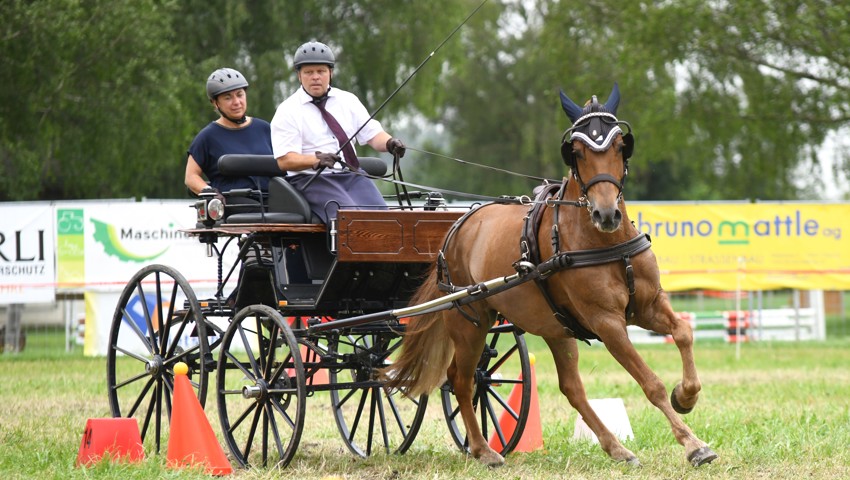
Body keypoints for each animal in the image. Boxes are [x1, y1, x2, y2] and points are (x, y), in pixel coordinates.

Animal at [382, 84, 716, 466]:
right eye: (577, 152)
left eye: (621, 145)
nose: (606, 214)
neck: (606, 242)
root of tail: (457, 227)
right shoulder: (608, 323)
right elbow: (651, 383)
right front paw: (693, 444)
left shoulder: (648, 306)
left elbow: (684, 333)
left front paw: (686, 396)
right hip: (470, 323)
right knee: (461, 381)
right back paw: (484, 450)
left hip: (556, 327)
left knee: (570, 388)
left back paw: (616, 448)